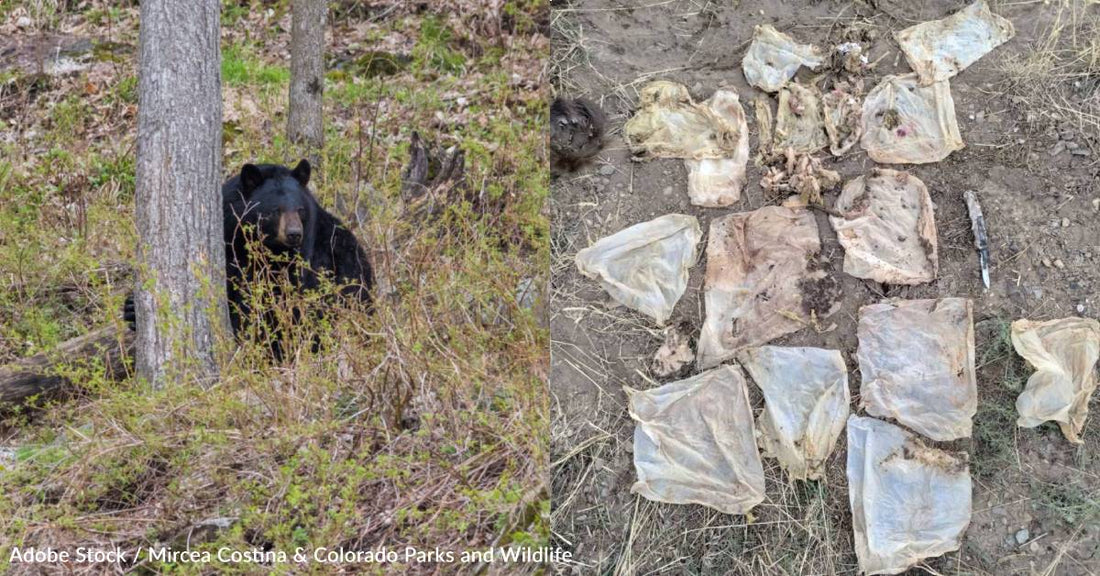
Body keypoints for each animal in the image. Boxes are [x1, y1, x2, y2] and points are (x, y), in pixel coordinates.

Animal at [125, 159, 373, 358]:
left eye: (300, 209)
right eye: (274, 210)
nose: (294, 233)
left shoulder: (307, 259)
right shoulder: (229, 246)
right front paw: (131, 309)